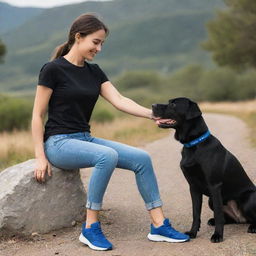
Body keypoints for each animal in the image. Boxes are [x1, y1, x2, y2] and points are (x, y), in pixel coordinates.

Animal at [152, 97, 256, 242]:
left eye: (174, 104)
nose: (152, 105)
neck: (193, 144)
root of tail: (241, 218)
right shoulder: (193, 187)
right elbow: (196, 213)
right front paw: (192, 233)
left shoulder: (214, 185)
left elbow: (218, 213)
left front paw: (217, 235)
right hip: (210, 200)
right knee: (230, 219)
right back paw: (214, 221)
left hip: (248, 198)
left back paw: (252, 227)